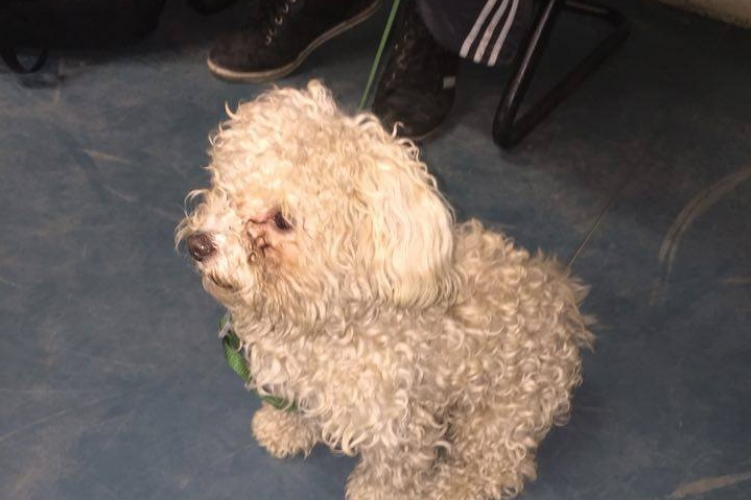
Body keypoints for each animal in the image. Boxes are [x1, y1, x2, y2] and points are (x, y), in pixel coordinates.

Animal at [177, 80, 594, 500]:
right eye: (223, 187)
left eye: (281, 220)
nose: (198, 244)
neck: (329, 319)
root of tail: (563, 301)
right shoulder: (292, 379)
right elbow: (291, 406)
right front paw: (282, 429)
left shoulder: (399, 423)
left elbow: (392, 470)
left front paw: (375, 492)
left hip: (503, 414)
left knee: (496, 464)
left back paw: (456, 485)